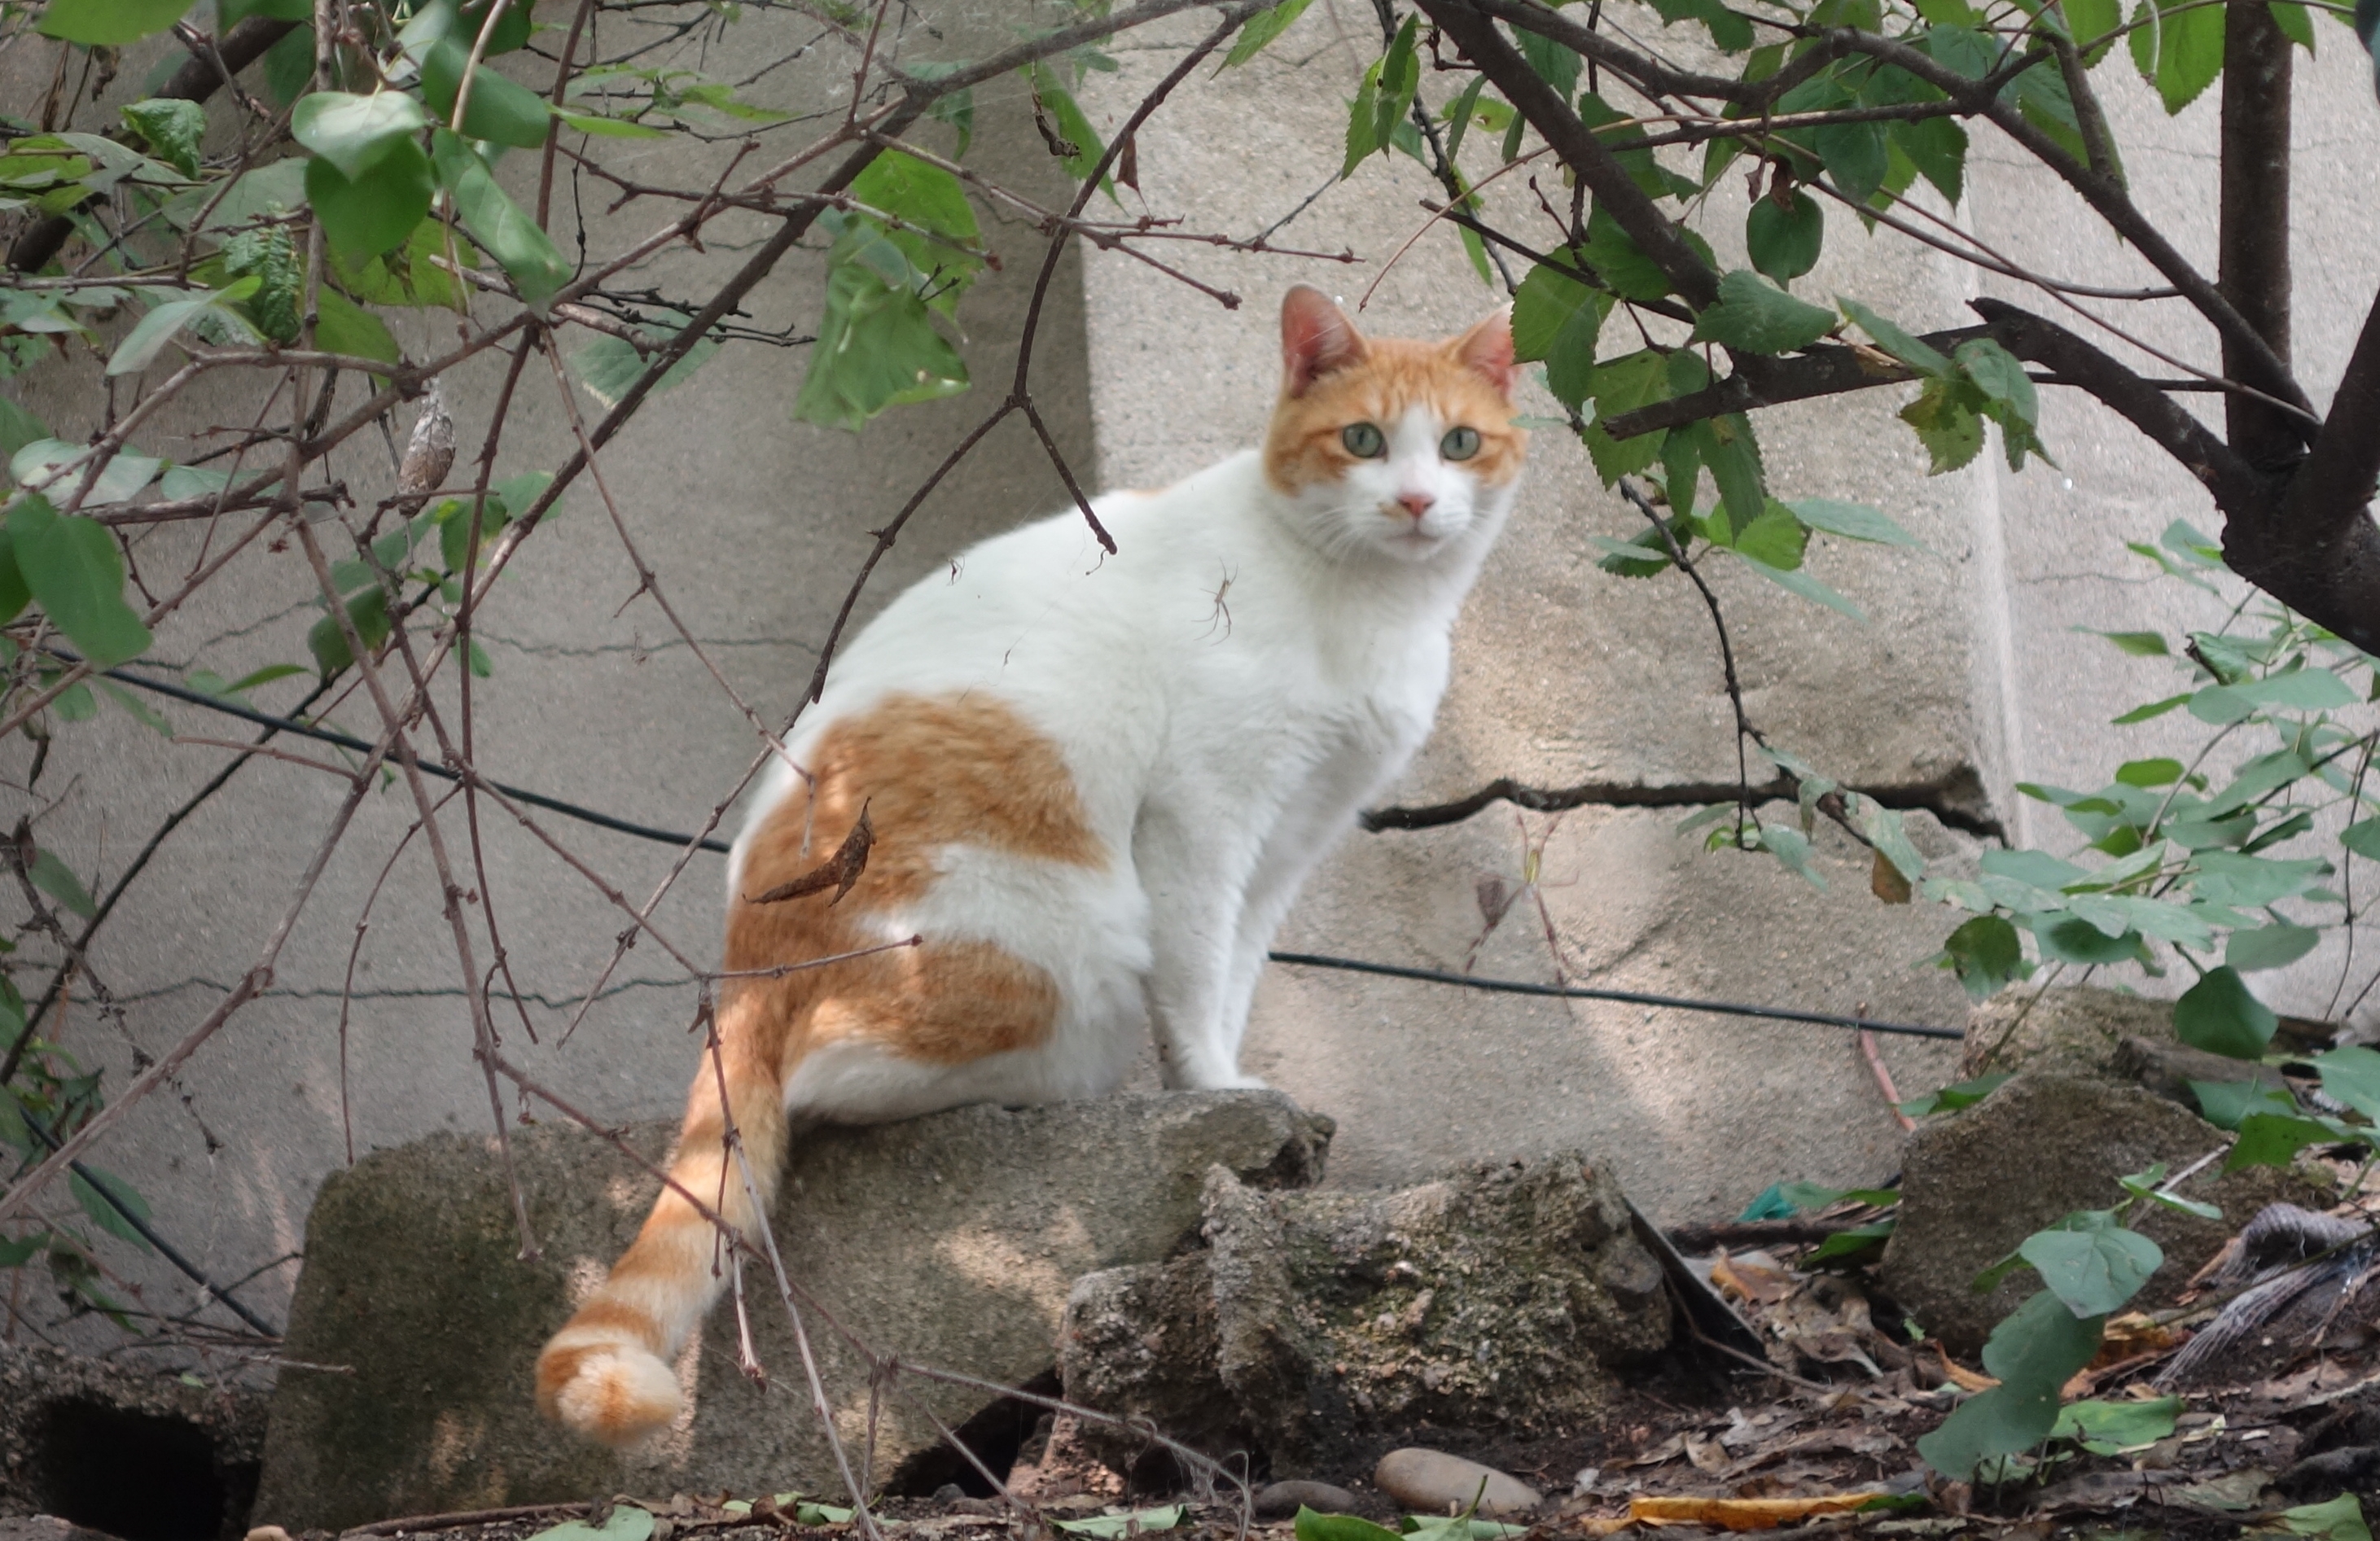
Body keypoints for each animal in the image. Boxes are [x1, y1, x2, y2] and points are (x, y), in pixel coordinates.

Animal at [535, 279, 1523, 1446]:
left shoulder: (1288, 841)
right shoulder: (1203, 817)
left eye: (1458, 445)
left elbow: (1236, 976)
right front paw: (1216, 1094)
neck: (1367, 604)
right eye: (1363, 440)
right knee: (834, 1075)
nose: (1415, 502)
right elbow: (1196, 979)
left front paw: (1228, 1080)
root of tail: (739, 958)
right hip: (1063, 945)